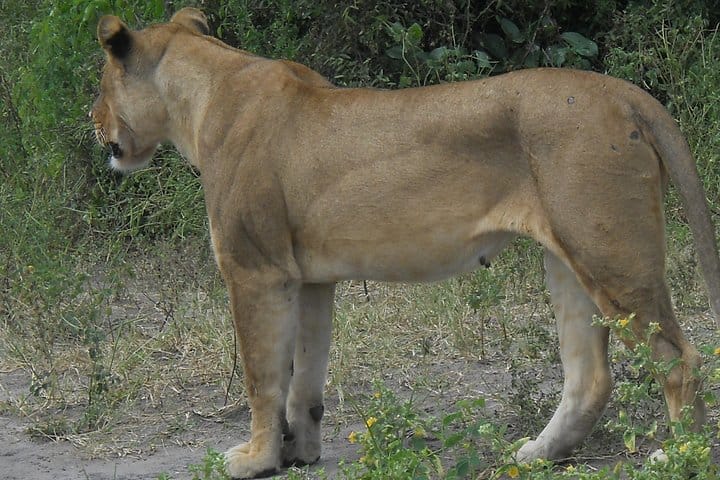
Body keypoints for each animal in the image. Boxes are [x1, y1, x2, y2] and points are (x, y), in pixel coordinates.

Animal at [92, 8, 720, 479]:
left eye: (100, 85)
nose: (92, 120)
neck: (201, 97)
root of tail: (625, 93)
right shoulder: (310, 278)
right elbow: (304, 377)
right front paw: (300, 453)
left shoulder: (254, 269)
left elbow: (261, 377)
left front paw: (254, 460)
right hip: (568, 259)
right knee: (590, 375)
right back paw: (534, 454)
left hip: (609, 253)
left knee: (680, 358)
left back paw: (678, 457)